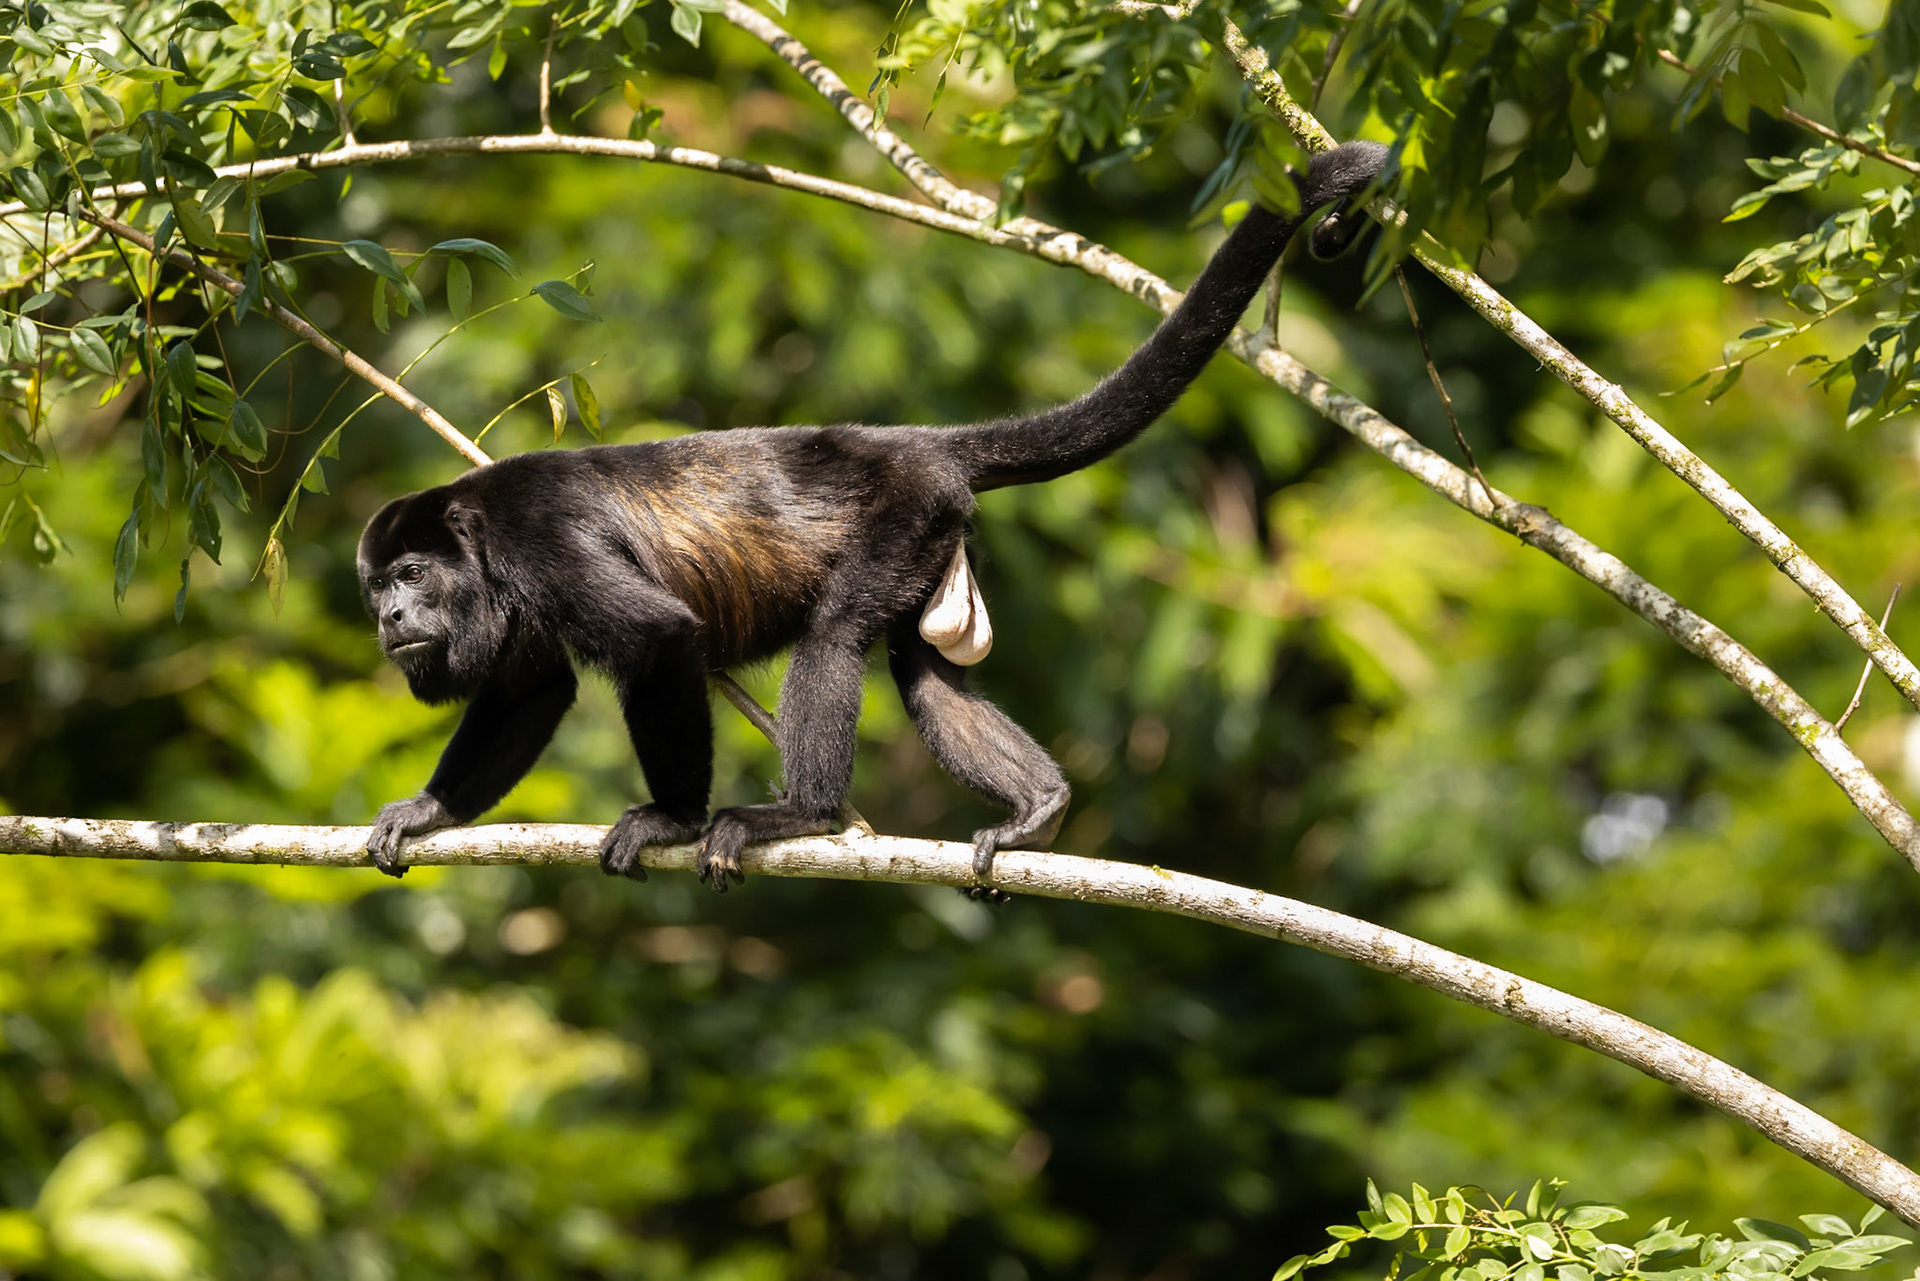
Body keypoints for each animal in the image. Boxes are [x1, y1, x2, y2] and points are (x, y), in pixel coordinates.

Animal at [357, 140, 1390, 889]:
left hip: (903, 512)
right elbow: (531, 691)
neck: (482, 539)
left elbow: (659, 636)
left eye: (410, 576)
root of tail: (918, 443)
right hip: (935, 534)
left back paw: (801, 813)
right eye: (375, 589)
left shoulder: (543, 541)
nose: (388, 617)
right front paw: (434, 810)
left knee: (835, 636)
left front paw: (672, 819)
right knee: (921, 666)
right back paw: (1038, 809)